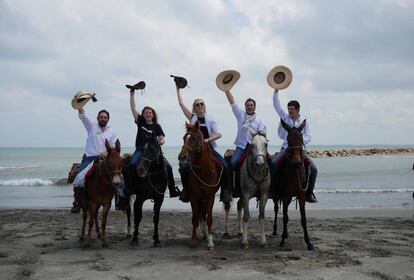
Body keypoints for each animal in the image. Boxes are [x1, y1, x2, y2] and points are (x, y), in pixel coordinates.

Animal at [179, 122, 223, 252]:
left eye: (194, 138)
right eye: (184, 138)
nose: (182, 157)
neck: (203, 171)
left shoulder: (210, 197)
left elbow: (209, 218)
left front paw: (210, 242)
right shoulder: (194, 196)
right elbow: (194, 217)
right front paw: (194, 239)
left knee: (203, 214)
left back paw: (204, 234)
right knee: (200, 214)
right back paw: (200, 234)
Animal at [272, 119, 314, 250]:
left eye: (301, 138)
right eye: (288, 139)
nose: (296, 162)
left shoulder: (301, 195)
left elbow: (303, 218)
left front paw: (308, 242)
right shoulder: (285, 196)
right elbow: (285, 217)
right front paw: (282, 241)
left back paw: (285, 233)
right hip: (277, 195)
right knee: (277, 210)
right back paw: (276, 231)